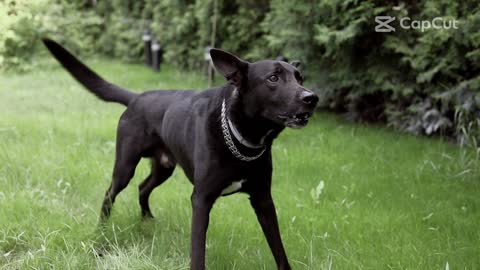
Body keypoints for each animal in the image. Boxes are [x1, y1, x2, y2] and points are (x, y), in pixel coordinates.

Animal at [42, 39, 318, 268]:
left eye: (300, 78)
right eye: (273, 78)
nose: (312, 98)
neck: (242, 138)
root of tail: (136, 98)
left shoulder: (263, 199)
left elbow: (279, 250)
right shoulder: (201, 199)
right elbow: (198, 252)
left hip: (164, 167)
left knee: (143, 187)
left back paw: (148, 220)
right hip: (125, 166)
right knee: (110, 193)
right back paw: (101, 230)